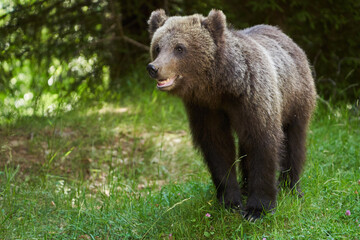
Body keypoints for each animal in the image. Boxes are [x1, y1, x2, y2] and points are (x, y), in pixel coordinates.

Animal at [146, 9, 316, 221]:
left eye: (179, 48)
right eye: (157, 47)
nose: (154, 68)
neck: (221, 87)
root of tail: (286, 37)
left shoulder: (253, 97)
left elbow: (263, 143)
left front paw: (257, 209)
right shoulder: (205, 108)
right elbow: (218, 147)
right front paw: (230, 201)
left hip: (295, 96)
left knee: (294, 140)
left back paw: (291, 187)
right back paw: (245, 186)